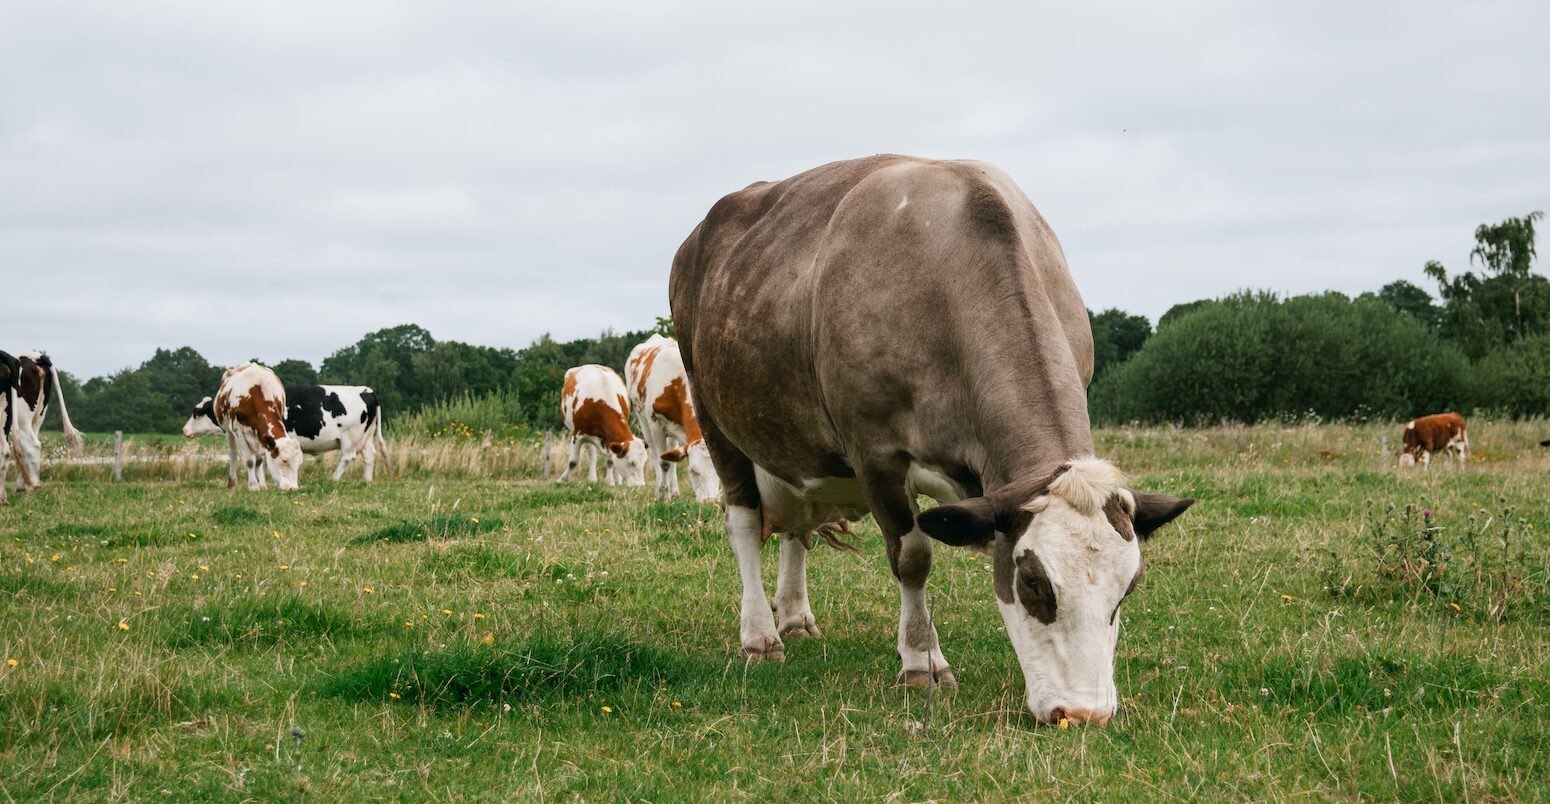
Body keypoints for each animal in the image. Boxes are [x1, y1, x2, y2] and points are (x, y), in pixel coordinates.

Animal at [182, 382, 385, 480]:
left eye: (195, 412)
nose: (184, 430)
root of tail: (365, 390)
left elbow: (261, 461)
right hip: (365, 437)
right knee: (369, 455)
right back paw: (367, 480)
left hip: (350, 437)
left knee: (348, 457)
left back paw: (333, 478)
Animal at [626, 333, 722, 501]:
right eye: (692, 471)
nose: (709, 501)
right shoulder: (656, 425)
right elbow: (663, 462)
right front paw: (663, 495)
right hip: (643, 420)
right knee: (655, 454)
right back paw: (660, 489)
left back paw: (675, 491)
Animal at [672, 154, 1190, 728]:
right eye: (1033, 582)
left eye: (1128, 588)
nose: (1083, 713)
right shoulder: (875, 452)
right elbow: (913, 556)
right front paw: (922, 660)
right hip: (713, 414)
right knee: (743, 524)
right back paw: (760, 635)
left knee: (795, 527)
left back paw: (794, 617)